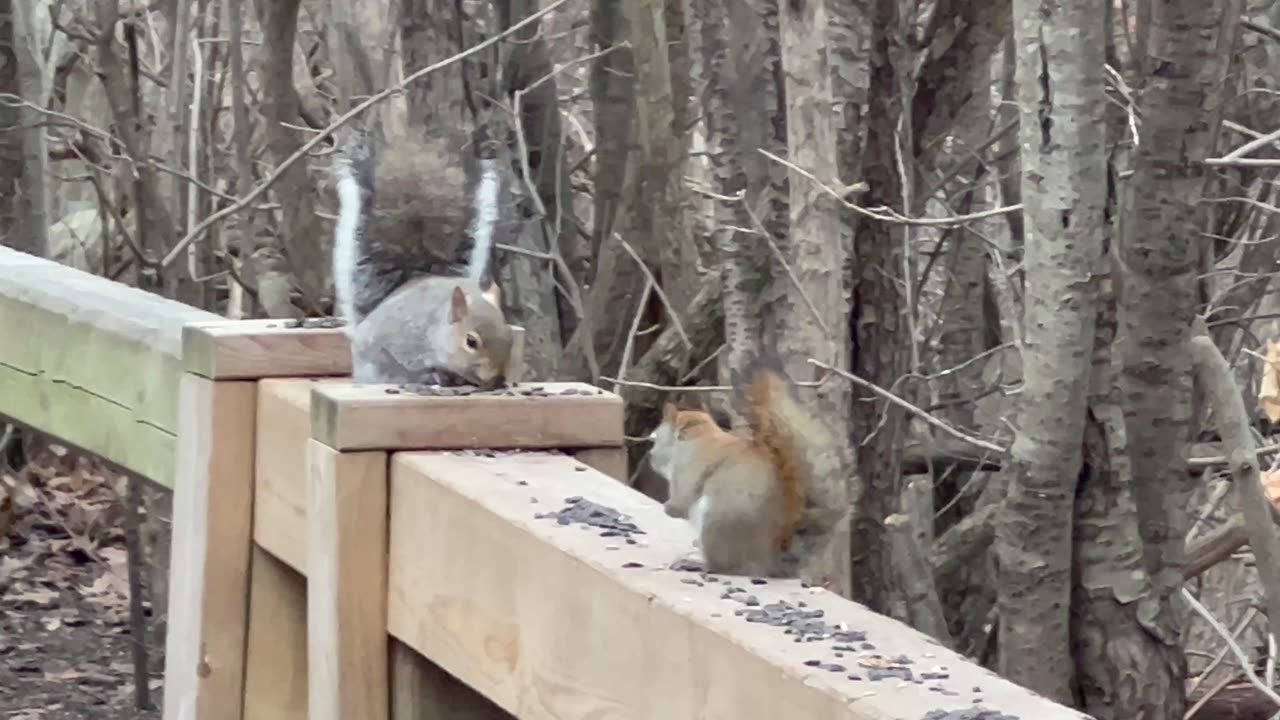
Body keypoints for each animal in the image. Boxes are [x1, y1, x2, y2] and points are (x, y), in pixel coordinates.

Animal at [332, 130, 517, 386]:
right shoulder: (400, 339)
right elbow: (399, 363)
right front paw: (429, 375)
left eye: (510, 337)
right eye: (471, 342)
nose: (497, 379)